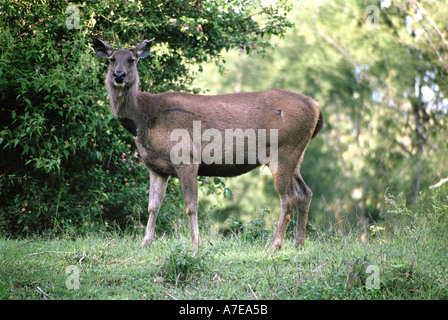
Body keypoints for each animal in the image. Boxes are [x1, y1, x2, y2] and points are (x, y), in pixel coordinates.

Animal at [93, 37, 322, 251]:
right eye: (112, 59)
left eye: (132, 60)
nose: (119, 75)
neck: (146, 119)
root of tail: (316, 107)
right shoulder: (156, 167)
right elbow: (152, 206)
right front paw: (145, 242)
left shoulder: (186, 157)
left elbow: (191, 205)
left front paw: (195, 244)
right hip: (296, 154)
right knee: (305, 193)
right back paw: (299, 244)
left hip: (283, 151)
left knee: (288, 198)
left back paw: (275, 245)